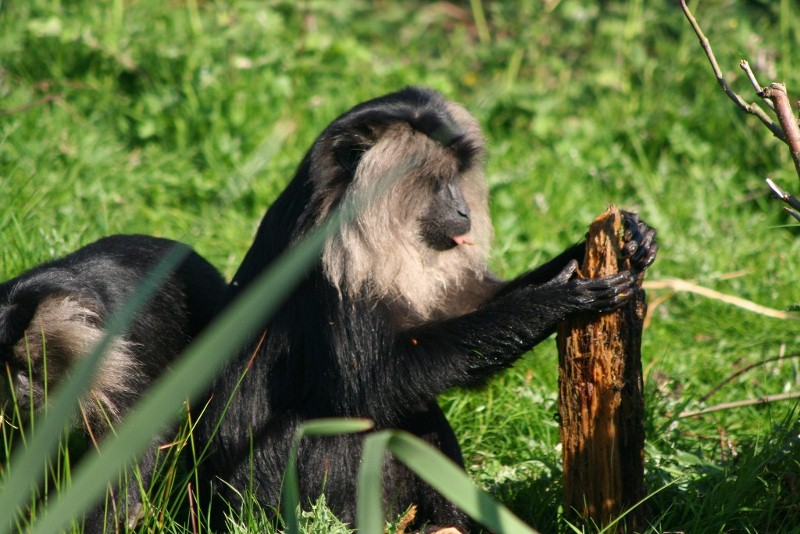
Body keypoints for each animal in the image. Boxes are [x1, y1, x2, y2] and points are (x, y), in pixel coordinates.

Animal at [197, 87, 658, 531]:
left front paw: (625, 241)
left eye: (456, 178)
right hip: (260, 497)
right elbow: (375, 383)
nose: (463, 211)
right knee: (347, 426)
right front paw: (554, 299)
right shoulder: (333, 258)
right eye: (435, 181)